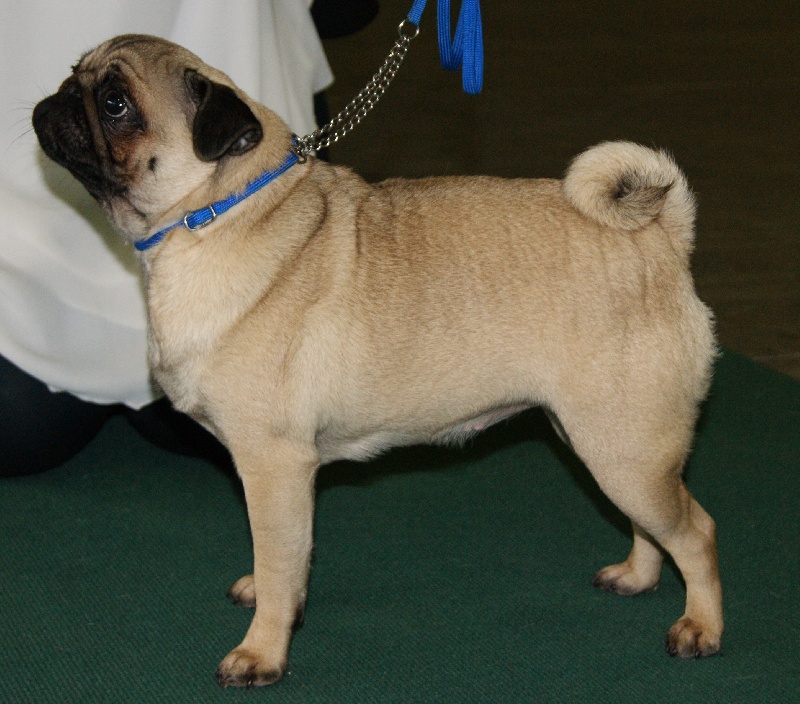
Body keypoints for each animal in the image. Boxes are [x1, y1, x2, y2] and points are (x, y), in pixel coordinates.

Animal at [33, 34, 723, 687]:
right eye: (74, 73)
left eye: (116, 104)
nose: (57, 98)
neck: (213, 218)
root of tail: (661, 237)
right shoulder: (282, 477)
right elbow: (286, 558)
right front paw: (276, 602)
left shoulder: (273, 465)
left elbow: (277, 558)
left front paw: (261, 653)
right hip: (605, 442)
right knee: (655, 525)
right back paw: (637, 576)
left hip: (622, 446)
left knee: (696, 532)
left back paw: (700, 627)